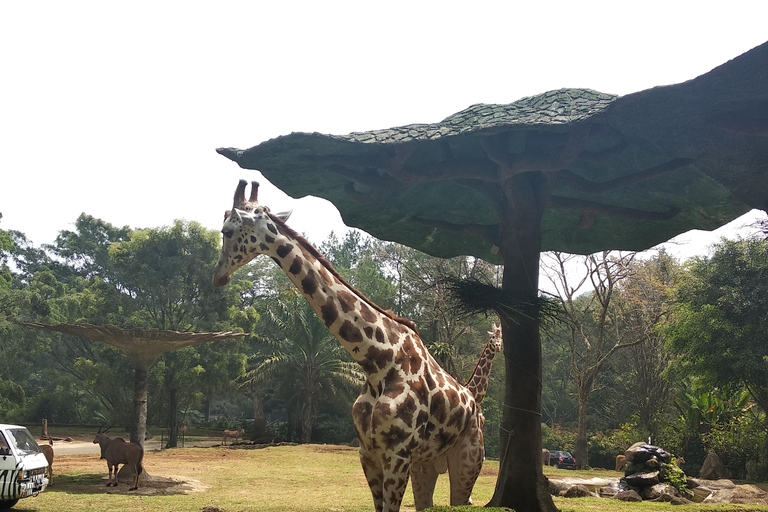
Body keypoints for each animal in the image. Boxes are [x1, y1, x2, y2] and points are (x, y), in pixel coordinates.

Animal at [213, 181, 484, 512]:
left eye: (226, 230)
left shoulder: (398, 454)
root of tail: (474, 404)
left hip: (468, 461)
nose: (218, 276)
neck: (378, 362)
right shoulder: (368, 453)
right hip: (426, 465)